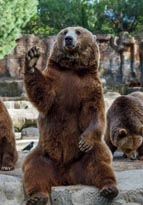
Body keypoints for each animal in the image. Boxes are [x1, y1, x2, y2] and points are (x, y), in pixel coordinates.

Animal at [22, 26, 118, 204]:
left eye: (78, 31)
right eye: (65, 31)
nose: (68, 39)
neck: (73, 69)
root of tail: (65, 177)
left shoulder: (90, 86)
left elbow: (94, 112)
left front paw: (85, 141)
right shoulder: (56, 81)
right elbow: (44, 95)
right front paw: (31, 58)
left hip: (82, 158)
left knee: (99, 161)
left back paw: (109, 188)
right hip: (45, 153)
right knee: (35, 168)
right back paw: (37, 197)